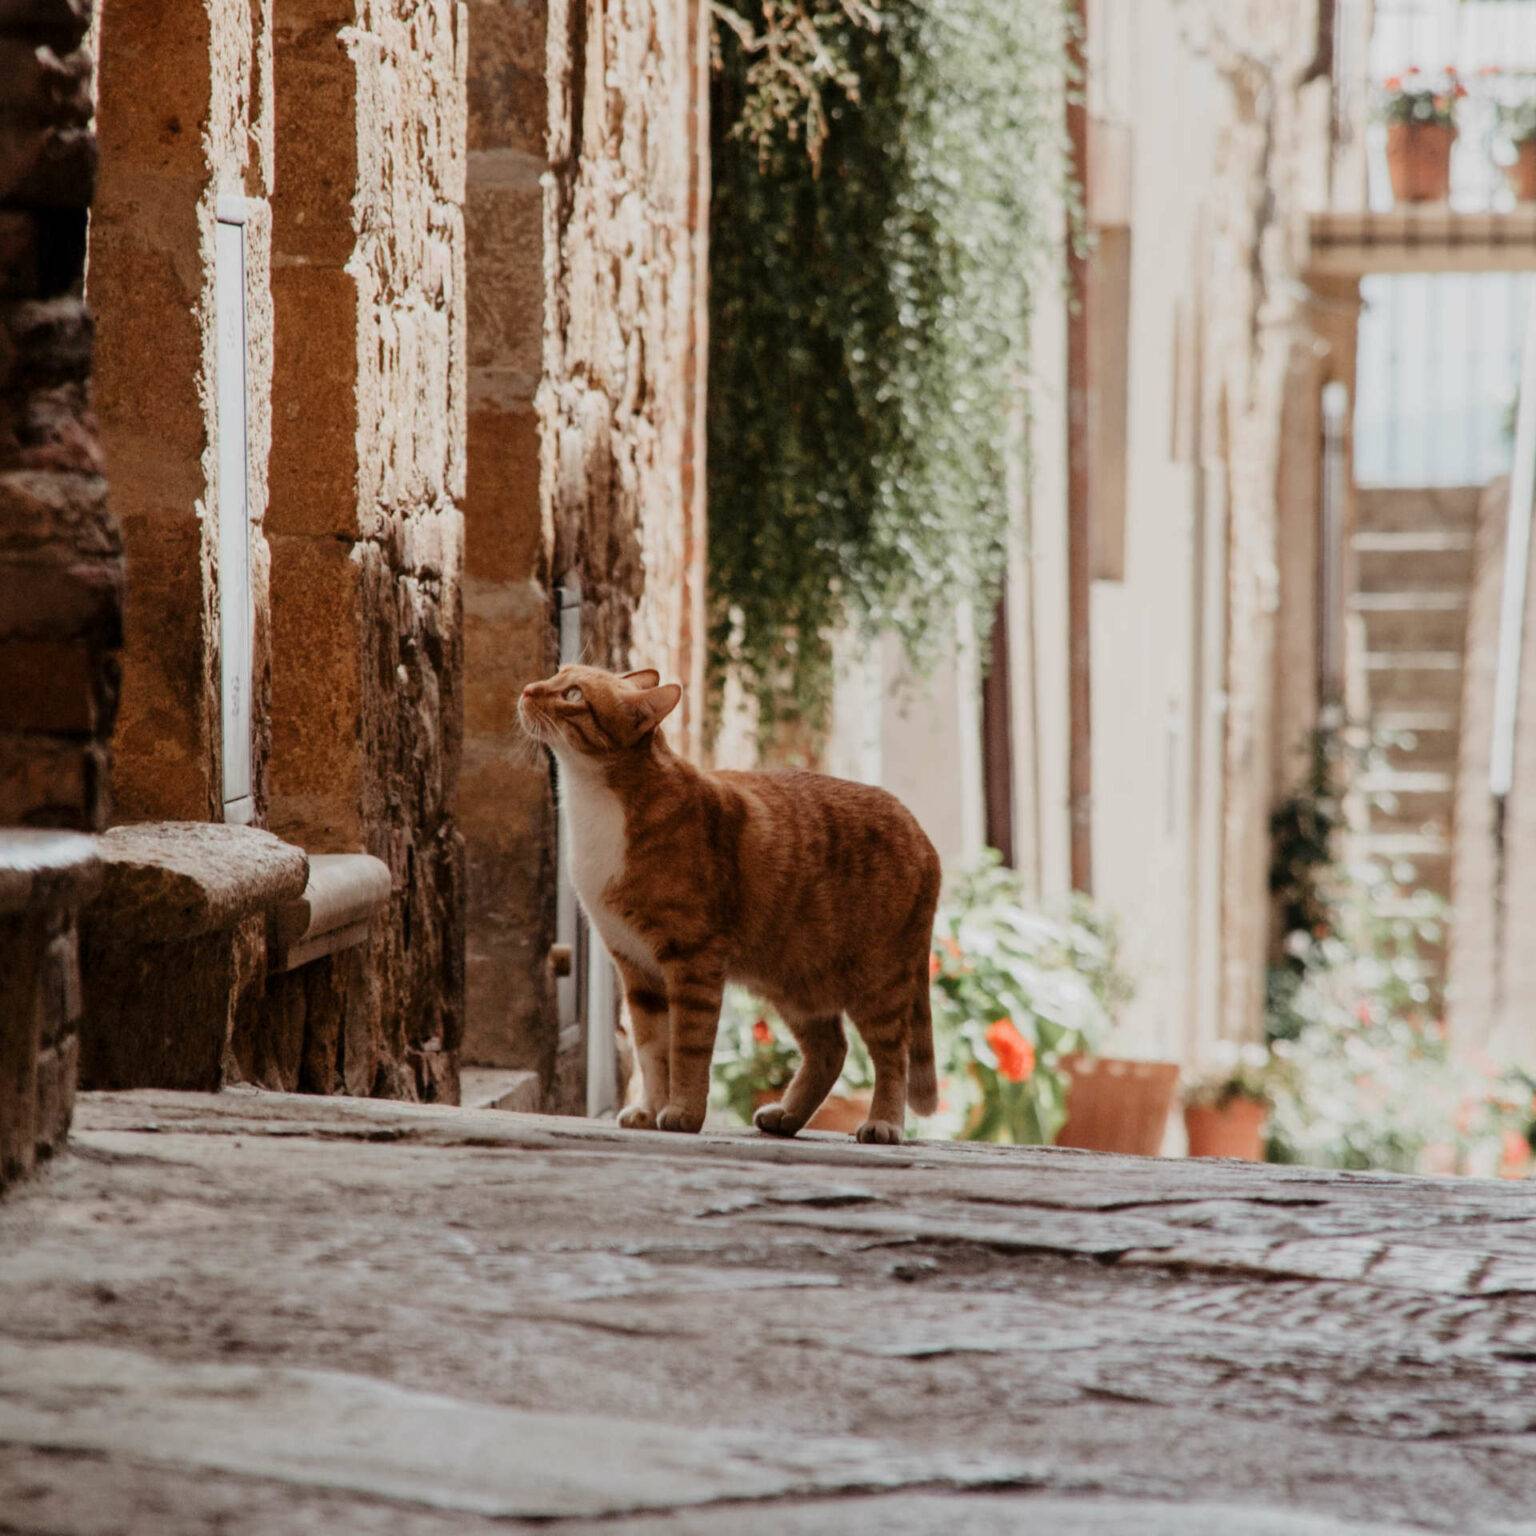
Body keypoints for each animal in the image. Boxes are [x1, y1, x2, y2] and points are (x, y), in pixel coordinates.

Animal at [522, 663, 940, 1142]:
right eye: (558, 674)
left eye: (573, 694)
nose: (528, 689)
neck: (595, 807)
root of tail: (922, 835)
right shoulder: (636, 967)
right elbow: (651, 1050)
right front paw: (650, 1108)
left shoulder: (692, 959)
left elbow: (686, 1047)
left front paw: (683, 1112)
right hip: (796, 981)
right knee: (831, 1049)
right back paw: (786, 1115)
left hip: (877, 980)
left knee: (892, 1054)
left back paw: (883, 1122)